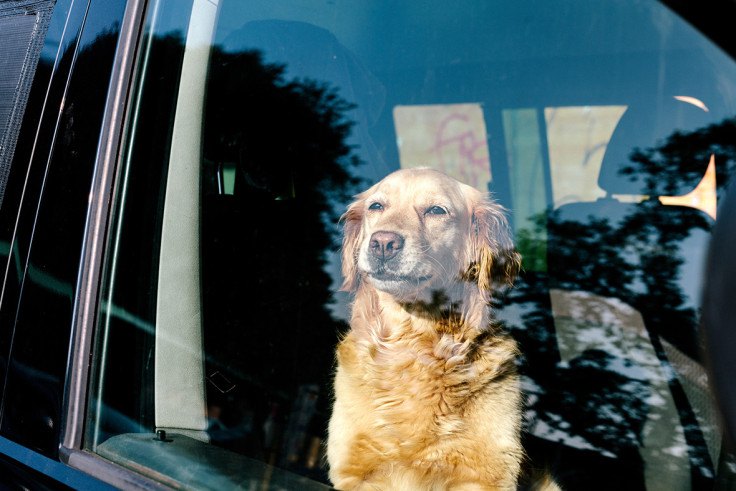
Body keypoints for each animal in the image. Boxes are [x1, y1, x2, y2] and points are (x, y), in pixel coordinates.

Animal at [328, 167, 536, 490]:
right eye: (377, 206)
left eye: (436, 210)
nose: (382, 243)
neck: (413, 345)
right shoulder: (355, 472)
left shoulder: (486, 475)